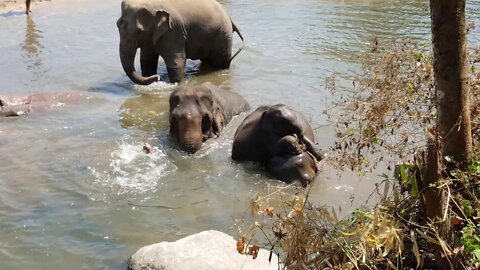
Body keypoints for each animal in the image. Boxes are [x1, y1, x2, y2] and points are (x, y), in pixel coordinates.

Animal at [116, 0, 244, 84]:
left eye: (138, 31)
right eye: (117, 25)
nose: (158, 77)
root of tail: (230, 18)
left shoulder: (174, 31)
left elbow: (176, 62)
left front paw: (175, 83)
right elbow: (147, 61)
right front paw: (150, 76)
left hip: (223, 37)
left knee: (219, 63)